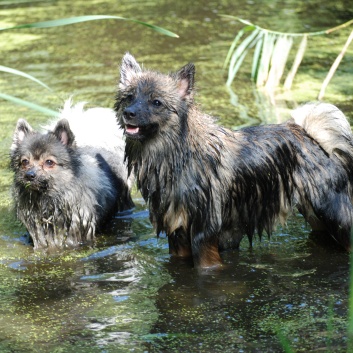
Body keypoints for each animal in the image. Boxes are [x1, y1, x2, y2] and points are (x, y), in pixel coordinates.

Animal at [115, 52, 352, 266]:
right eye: (129, 97)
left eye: (156, 102)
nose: (129, 113)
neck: (176, 156)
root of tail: (311, 136)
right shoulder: (178, 233)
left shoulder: (203, 234)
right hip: (315, 217)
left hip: (335, 215)